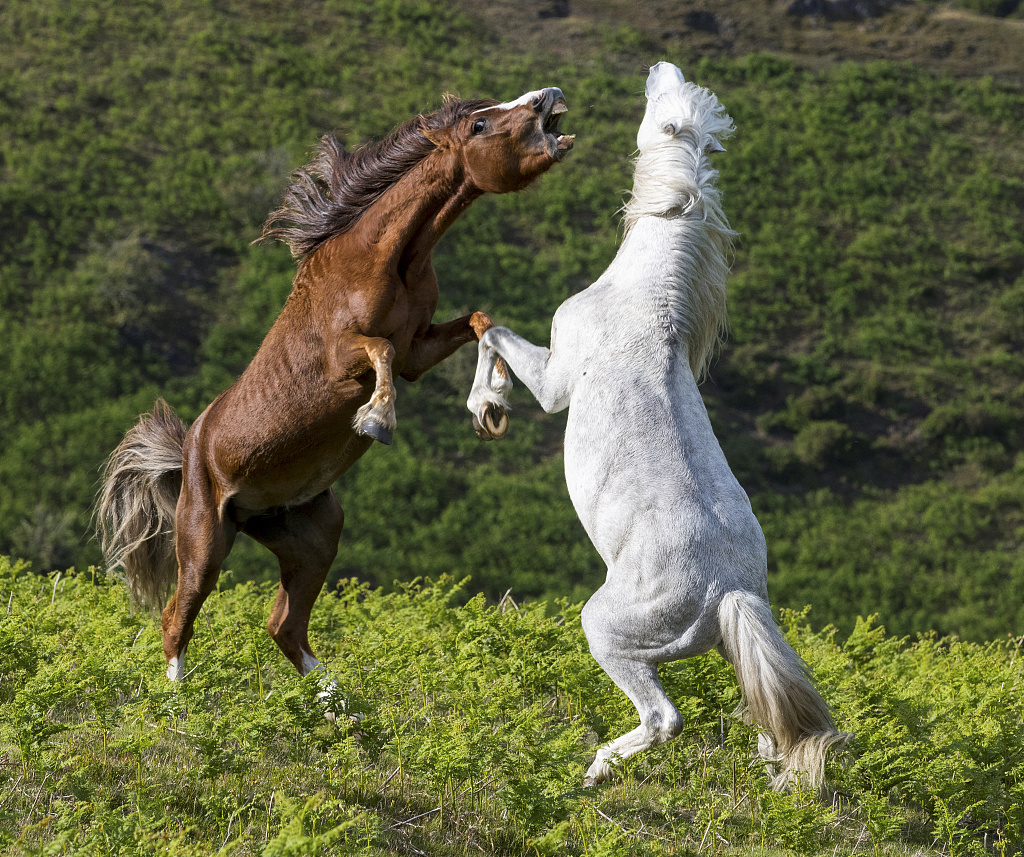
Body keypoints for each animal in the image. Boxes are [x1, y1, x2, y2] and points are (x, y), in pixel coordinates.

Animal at [98, 88, 573, 683]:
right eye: (481, 124)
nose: (549, 98)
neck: (386, 258)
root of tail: (187, 451)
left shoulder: (419, 350)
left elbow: (481, 323)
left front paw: (489, 407)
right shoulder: (346, 358)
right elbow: (381, 352)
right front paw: (377, 419)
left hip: (314, 536)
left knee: (284, 625)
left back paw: (338, 699)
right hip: (205, 540)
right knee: (176, 620)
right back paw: (181, 701)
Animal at [466, 61, 847, 790]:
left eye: (664, 111)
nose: (656, 70)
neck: (643, 310)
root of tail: (729, 587)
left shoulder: (555, 382)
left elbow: (491, 331)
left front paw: (487, 406)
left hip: (610, 632)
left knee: (664, 718)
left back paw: (593, 771)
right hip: (734, 650)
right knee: (765, 730)